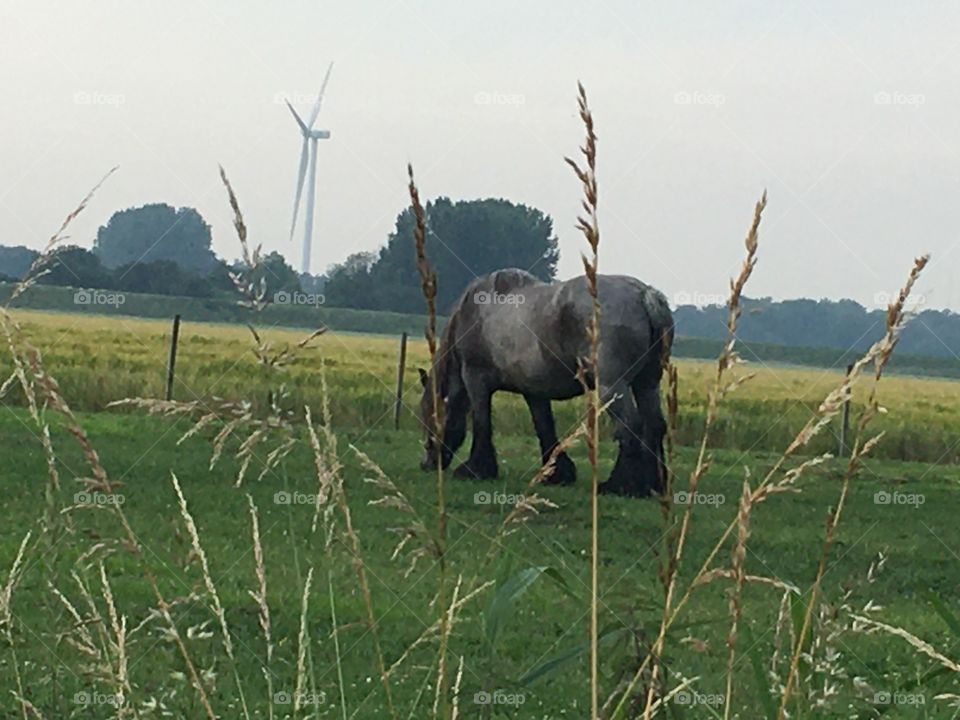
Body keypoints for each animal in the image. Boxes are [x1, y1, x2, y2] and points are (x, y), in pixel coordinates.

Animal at [417, 268, 674, 497]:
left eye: (430, 420)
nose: (427, 463)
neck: (474, 312)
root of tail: (645, 295)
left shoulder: (475, 379)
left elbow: (482, 423)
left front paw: (476, 469)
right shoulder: (534, 391)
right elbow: (544, 426)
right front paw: (557, 473)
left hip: (612, 386)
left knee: (629, 426)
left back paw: (619, 485)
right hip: (647, 383)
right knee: (654, 424)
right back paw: (654, 484)